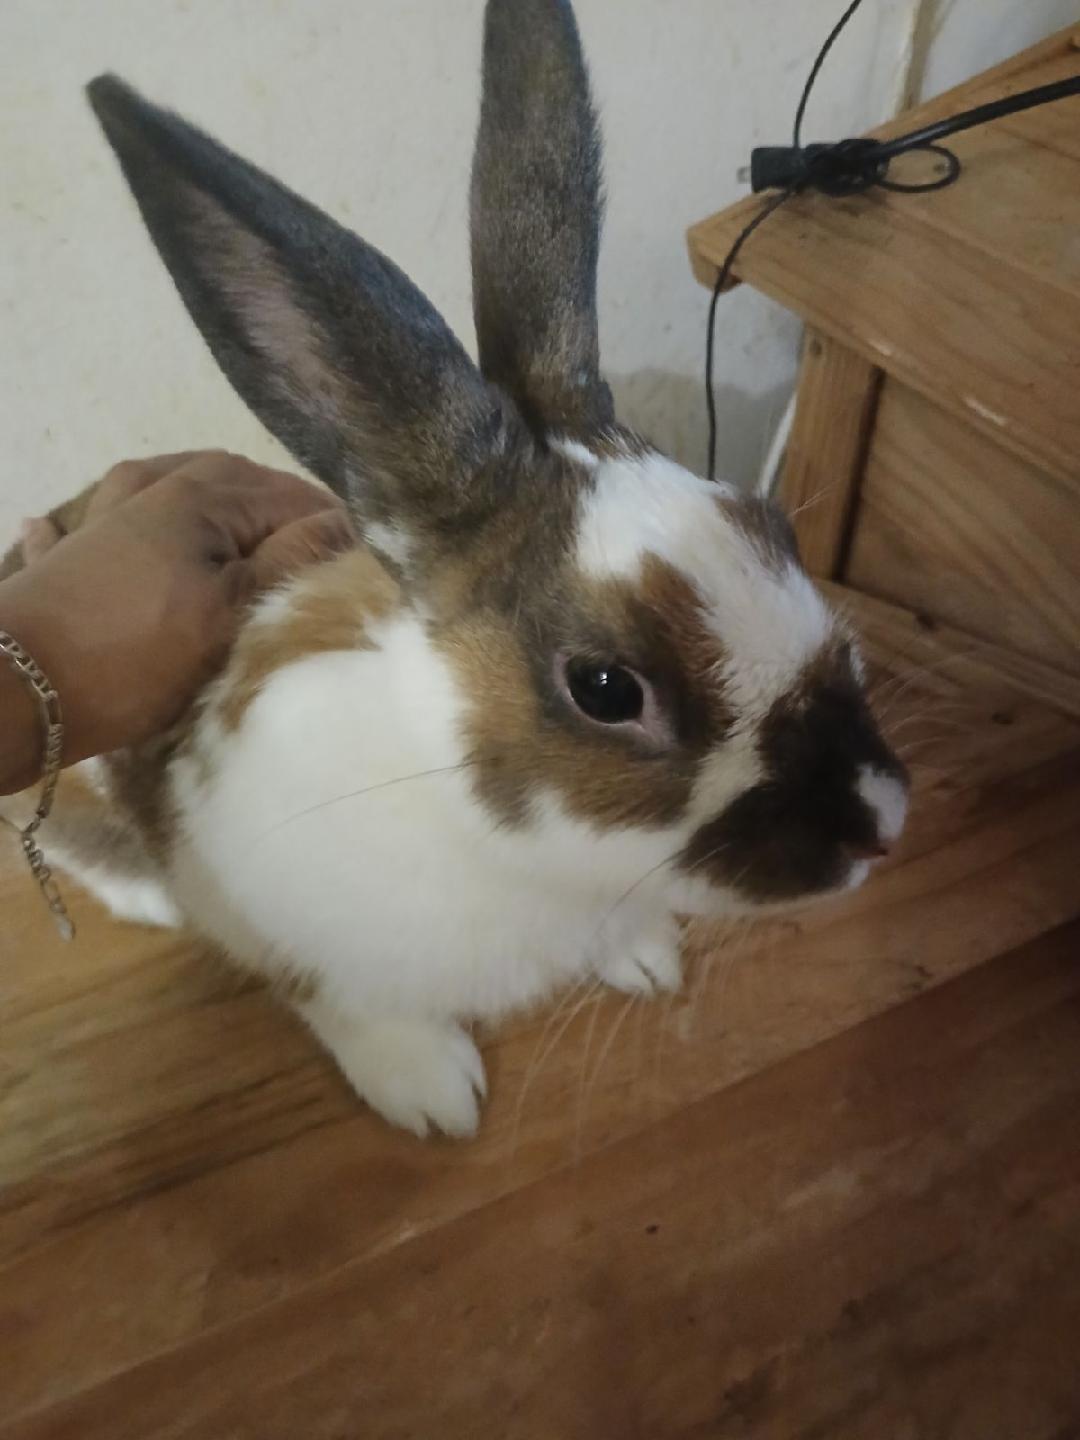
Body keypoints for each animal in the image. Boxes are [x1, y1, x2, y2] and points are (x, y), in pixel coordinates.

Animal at [12, 0, 908, 1138]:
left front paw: (645, 960)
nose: (882, 824)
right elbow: (332, 996)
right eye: (607, 689)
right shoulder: (257, 901)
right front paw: (432, 1094)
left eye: (772, 526)